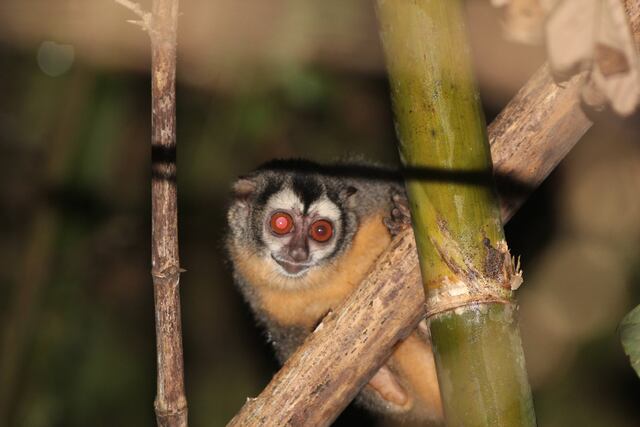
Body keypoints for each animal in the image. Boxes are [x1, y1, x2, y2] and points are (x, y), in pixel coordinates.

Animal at [226, 159, 443, 423]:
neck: (324, 274)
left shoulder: (376, 194)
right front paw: (382, 380)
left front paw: (402, 218)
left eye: (321, 231)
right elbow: (399, 400)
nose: (298, 253)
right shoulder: (261, 301)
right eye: (281, 223)